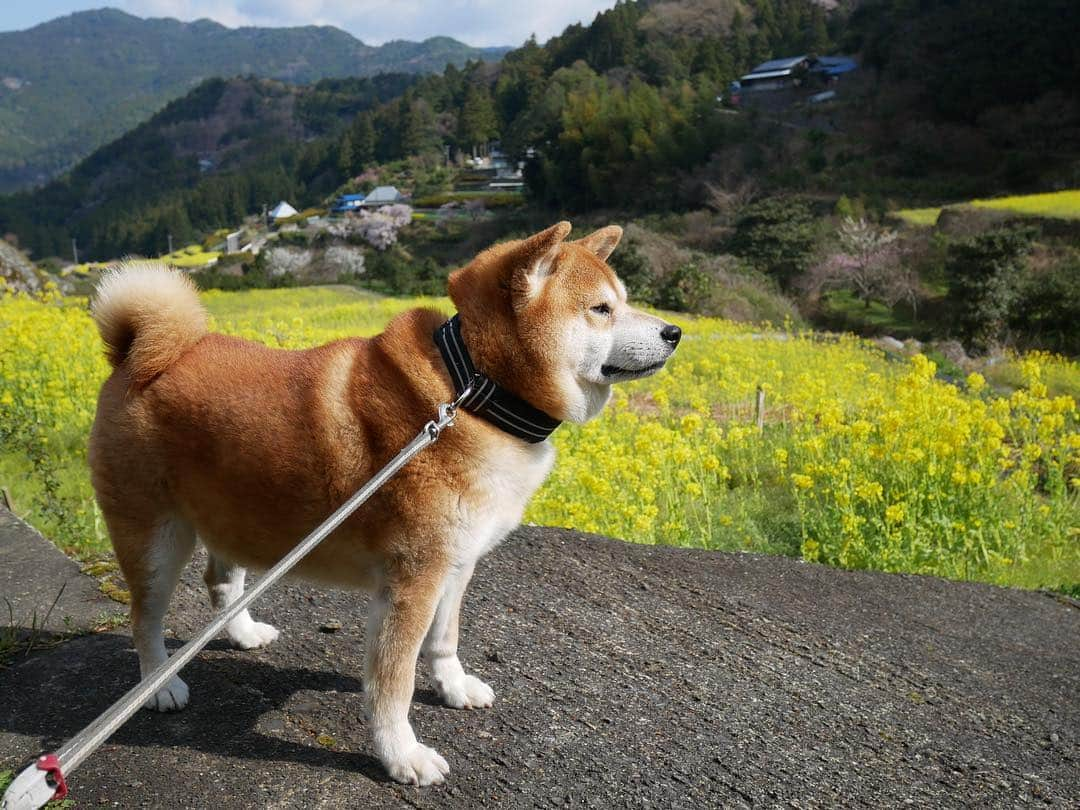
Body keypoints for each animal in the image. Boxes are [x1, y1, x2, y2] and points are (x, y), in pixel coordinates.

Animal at [90, 222, 682, 786]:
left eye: (624, 300)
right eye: (601, 309)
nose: (675, 332)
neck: (474, 392)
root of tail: (136, 354)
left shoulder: (454, 565)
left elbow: (444, 640)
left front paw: (452, 686)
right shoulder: (412, 580)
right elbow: (393, 682)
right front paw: (402, 755)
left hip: (234, 514)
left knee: (220, 580)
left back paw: (242, 633)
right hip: (156, 540)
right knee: (144, 618)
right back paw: (159, 685)